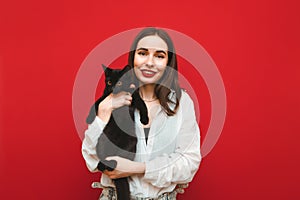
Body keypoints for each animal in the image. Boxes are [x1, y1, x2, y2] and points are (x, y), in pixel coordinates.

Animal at [86, 65, 148, 199]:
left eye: (119, 82)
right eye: (109, 82)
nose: (113, 88)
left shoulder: (134, 95)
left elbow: (142, 104)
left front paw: (145, 120)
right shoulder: (105, 96)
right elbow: (96, 103)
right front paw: (89, 118)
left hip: (131, 143)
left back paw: (114, 163)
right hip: (102, 142)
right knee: (102, 162)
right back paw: (109, 163)